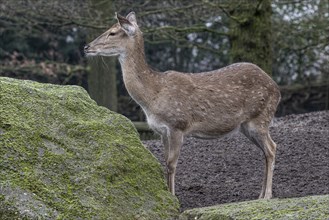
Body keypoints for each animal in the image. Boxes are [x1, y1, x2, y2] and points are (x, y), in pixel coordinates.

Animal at [84, 11, 280, 199]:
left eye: (112, 32)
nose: (87, 47)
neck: (152, 97)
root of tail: (276, 89)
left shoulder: (177, 124)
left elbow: (171, 164)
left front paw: (173, 198)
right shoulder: (162, 131)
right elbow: (164, 162)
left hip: (260, 118)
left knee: (271, 148)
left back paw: (268, 195)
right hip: (246, 126)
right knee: (266, 150)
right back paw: (259, 195)